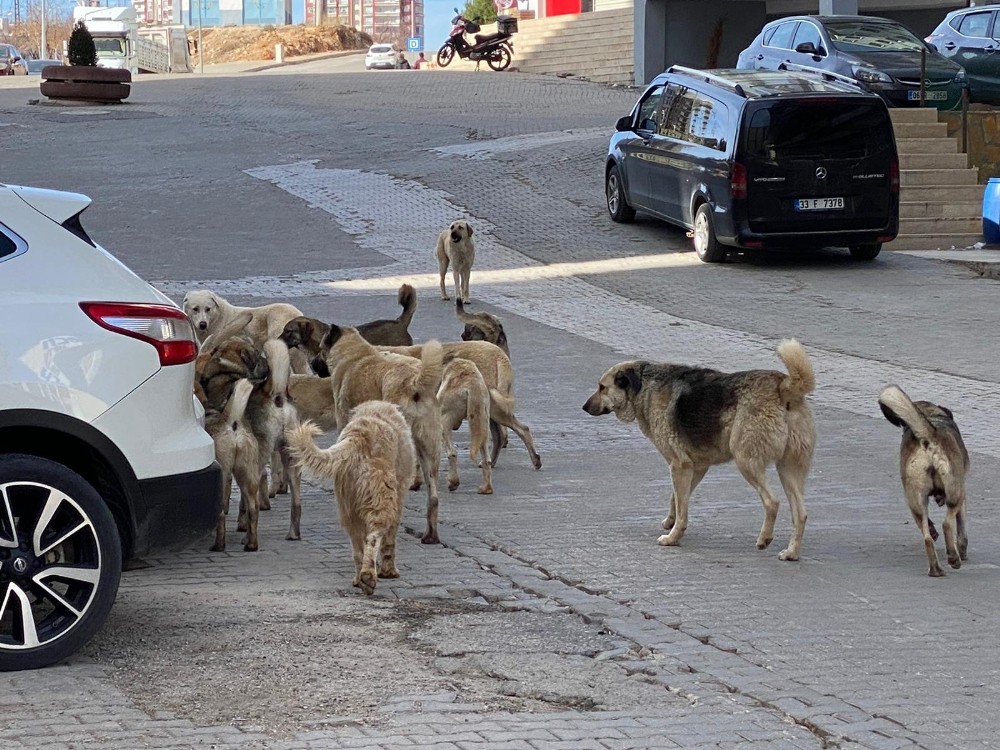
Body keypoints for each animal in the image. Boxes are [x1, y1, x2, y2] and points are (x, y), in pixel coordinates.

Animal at [288, 406, 416, 600]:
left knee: (358, 550)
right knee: (373, 539)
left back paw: (359, 579)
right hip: (381, 501)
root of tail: (358, 436)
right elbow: (389, 542)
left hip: (348, 509)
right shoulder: (399, 497)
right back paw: (369, 577)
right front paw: (390, 572)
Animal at [584, 344, 816, 560]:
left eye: (602, 387)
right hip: (788, 470)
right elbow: (677, 500)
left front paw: (672, 538)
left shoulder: (679, 465)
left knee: (772, 502)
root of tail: (783, 386)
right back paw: (791, 553)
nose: (584, 407)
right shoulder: (695, 467)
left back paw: (764, 539)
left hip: (746, 461)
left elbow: (682, 508)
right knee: (801, 514)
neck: (644, 384)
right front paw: (671, 522)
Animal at [876, 384, 968, 580]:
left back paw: (936, 569)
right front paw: (963, 550)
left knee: (927, 537)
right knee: (947, 523)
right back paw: (953, 558)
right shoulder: (963, 494)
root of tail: (928, 435)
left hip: (915, 500)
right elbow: (961, 527)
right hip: (956, 491)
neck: (931, 414)